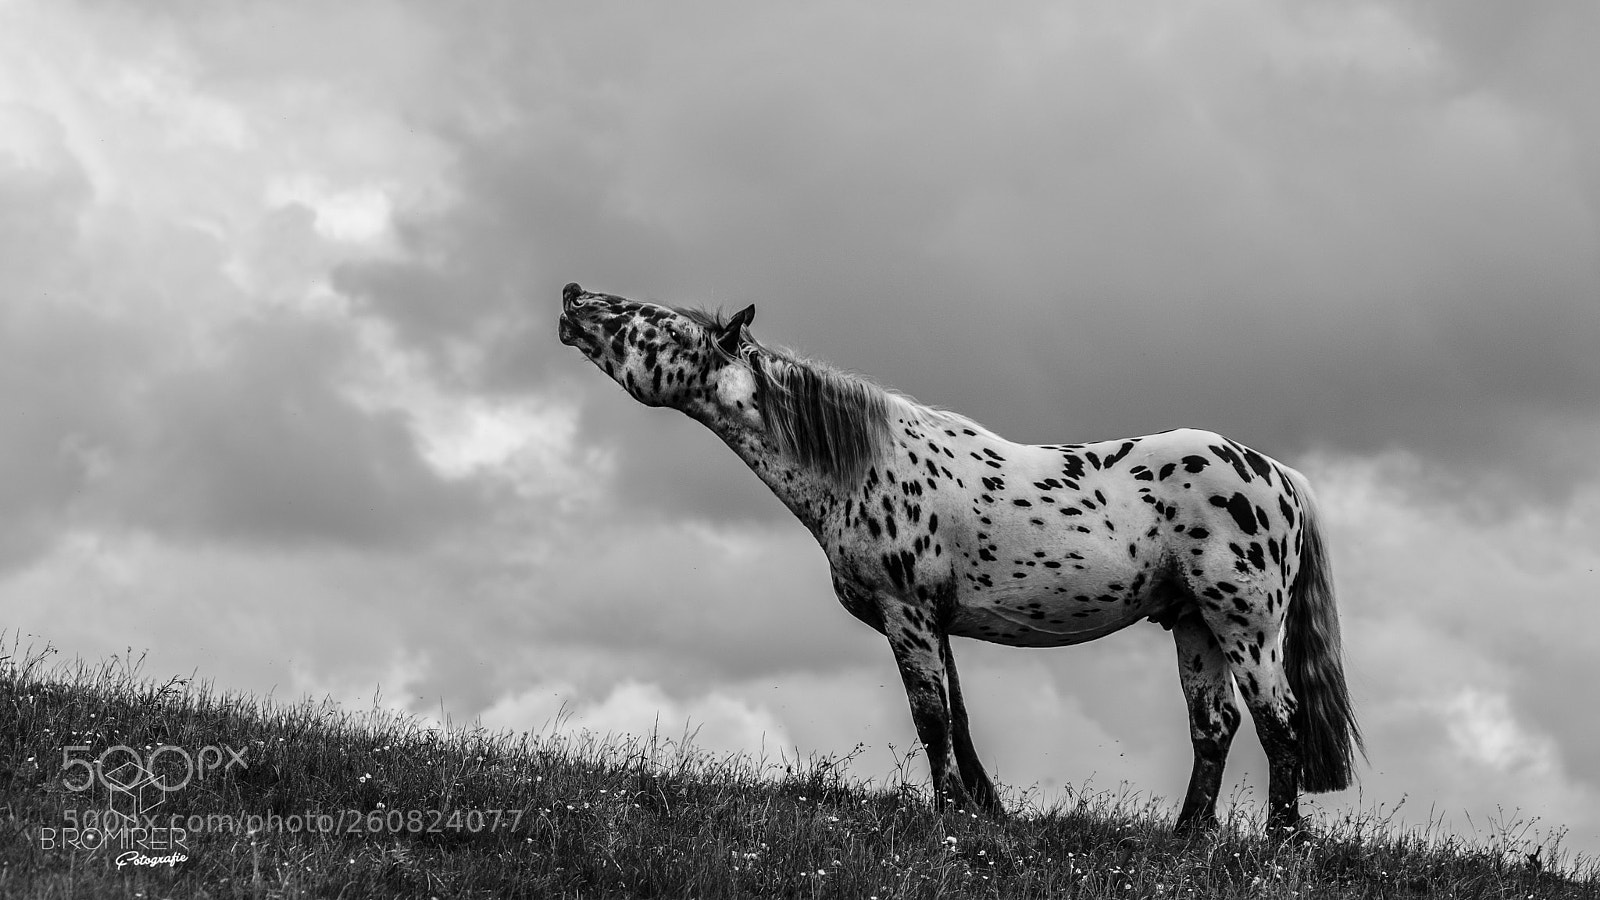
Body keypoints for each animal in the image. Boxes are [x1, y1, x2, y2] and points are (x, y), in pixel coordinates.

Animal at [557, 282, 1362, 835]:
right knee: (1214, 727)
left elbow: (931, 718)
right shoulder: (932, 622)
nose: (571, 297)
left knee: (1280, 723)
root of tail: (1276, 473)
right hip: (1195, 624)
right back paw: (1188, 837)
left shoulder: (907, 613)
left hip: (1245, 626)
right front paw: (985, 812)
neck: (863, 465)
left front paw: (945, 818)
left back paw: (1281, 842)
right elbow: (961, 720)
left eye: (660, 324)